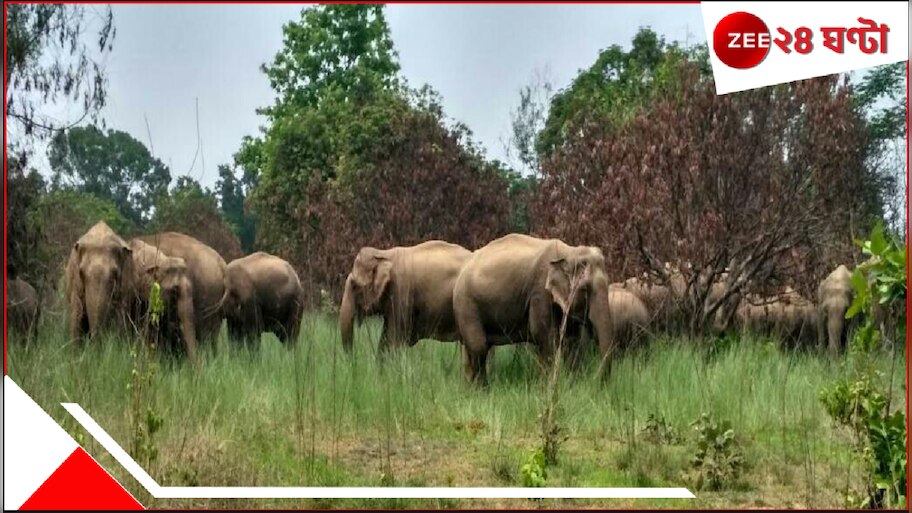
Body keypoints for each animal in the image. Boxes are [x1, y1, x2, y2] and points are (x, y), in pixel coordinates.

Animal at [452, 234, 614, 386]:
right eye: (585, 290)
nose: (596, 381)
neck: (569, 251)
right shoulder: (540, 291)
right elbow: (544, 335)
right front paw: (544, 388)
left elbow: (572, 341)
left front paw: (572, 385)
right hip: (466, 302)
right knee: (479, 346)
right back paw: (482, 389)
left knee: (475, 347)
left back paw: (469, 389)